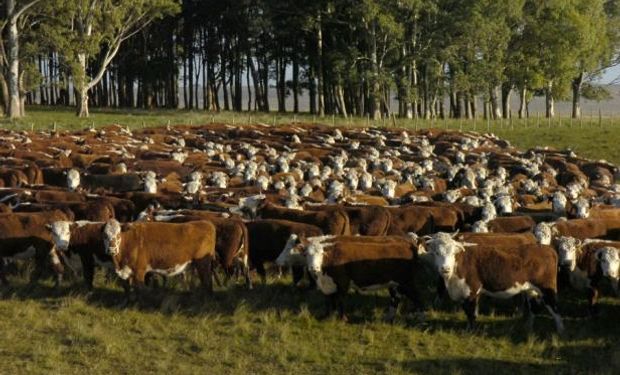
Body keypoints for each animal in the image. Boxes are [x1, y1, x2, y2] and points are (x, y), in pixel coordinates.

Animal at [424, 234, 564, 334]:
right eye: (436, 253)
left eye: (453, 252)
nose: (445, 268)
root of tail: (547, 248)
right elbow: (471, 311)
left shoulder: (471, 290)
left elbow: (470, 312)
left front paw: (470, 331)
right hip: (531, 289)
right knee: (534, 307)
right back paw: (527, 328)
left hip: (547, 288)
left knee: (555, 309)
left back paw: (560, 332)